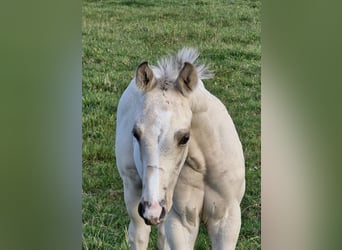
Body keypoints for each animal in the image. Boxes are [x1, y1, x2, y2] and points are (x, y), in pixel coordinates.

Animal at [116, 47, 244, 249]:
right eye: (136, 134)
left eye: (185, 138)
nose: (152, 209)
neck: (203, 167)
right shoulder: (181, 221)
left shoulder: (226, 218)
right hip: (134, 188)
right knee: (139, 235)